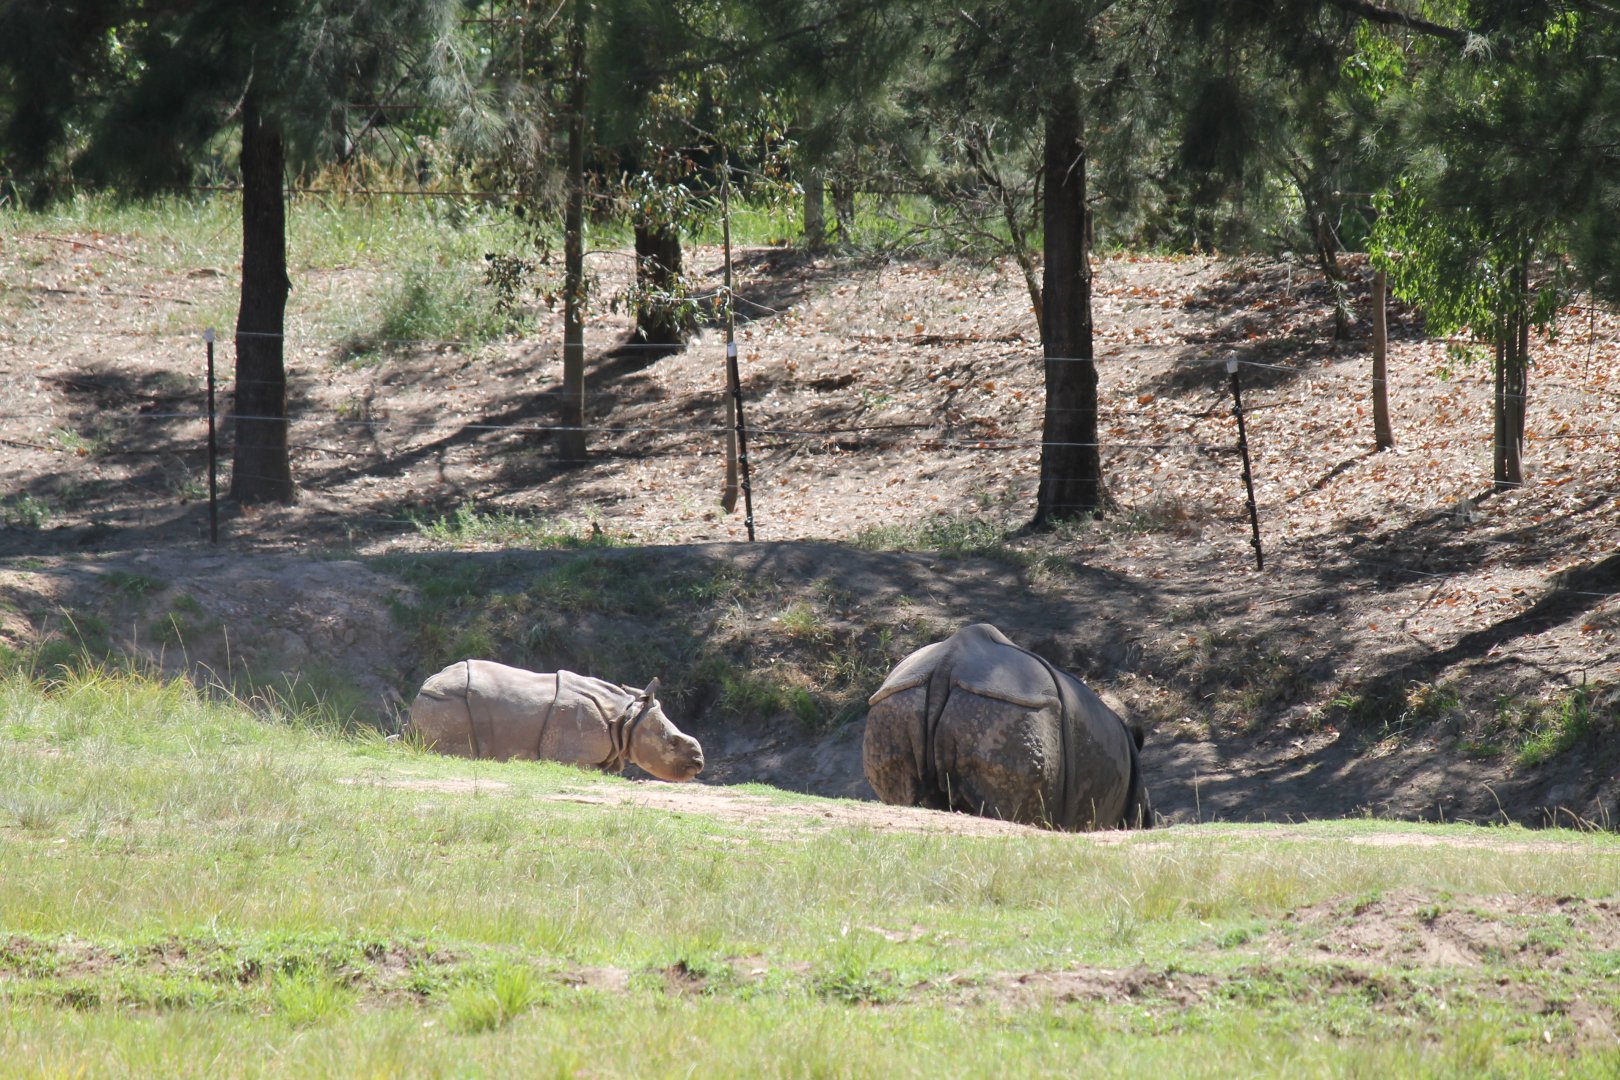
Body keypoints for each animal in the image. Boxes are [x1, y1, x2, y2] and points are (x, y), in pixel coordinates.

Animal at [405, 660, 704, 782]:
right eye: (673, 742)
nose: (699, 762)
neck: (626, 718)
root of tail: (425, 686)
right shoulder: (574, 756)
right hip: (448, 702)